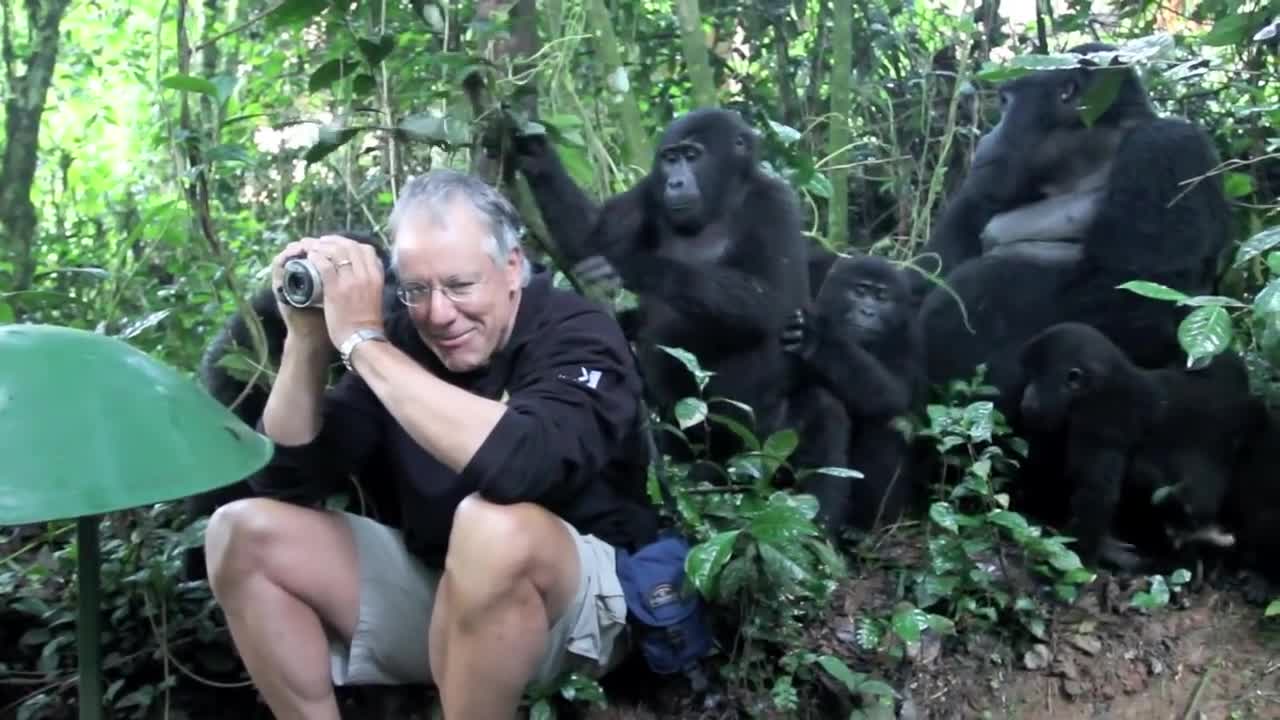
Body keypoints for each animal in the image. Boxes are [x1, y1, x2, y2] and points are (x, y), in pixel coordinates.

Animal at [778, 252, 921, 532]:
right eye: (860, 291)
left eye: (882, 297)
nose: (868, 311)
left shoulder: (906, 331)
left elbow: (893, 394)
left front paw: (818, 339)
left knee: (886, 421)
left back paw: (864, 526)